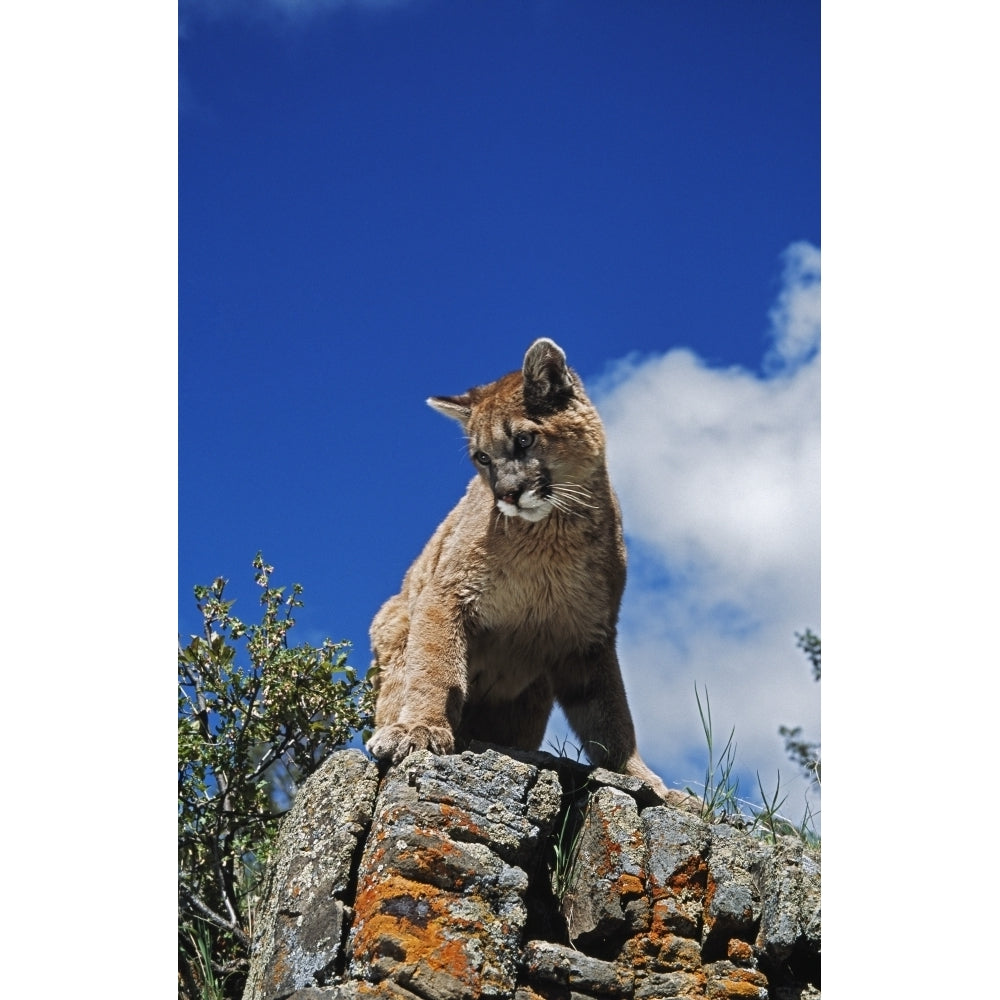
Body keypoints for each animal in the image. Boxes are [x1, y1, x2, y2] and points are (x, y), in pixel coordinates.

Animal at [368, 342, 680, 804]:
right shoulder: (444, 594)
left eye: (524, 439)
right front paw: (420, 728)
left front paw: (641, 777)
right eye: (482, 458)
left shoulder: (591, 635)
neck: (549, 536)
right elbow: (435, 665)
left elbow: (609, 713)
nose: (507, 494)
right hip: (394, 620)